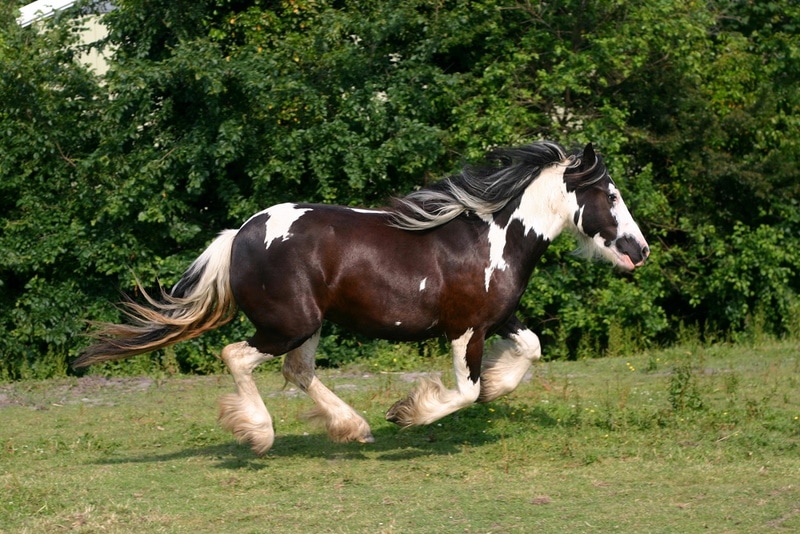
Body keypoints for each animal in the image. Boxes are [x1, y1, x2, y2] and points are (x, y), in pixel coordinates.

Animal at [73, 141, 648, 456]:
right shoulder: (465, 328)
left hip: (309, 325)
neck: (495, 238)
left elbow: (528, 351)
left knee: (298, 371)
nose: (640, 251)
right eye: (611, 195)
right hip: (288, 323)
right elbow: (464, 391)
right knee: (237, 355)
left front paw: (493, 387)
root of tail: (239, 234)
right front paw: (409, 412)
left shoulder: (496, 318)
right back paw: (262, 435)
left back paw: (353, 428)